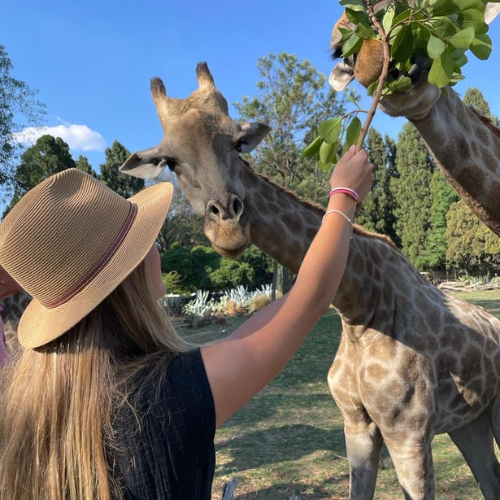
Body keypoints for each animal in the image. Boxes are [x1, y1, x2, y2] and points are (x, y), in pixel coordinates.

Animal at [122, 64, 500, 498]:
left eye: (238, 143)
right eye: (170, 161)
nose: (228, 227)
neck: (359, 305)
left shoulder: (409, 432)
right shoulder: (356, 425)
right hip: (469, 420)